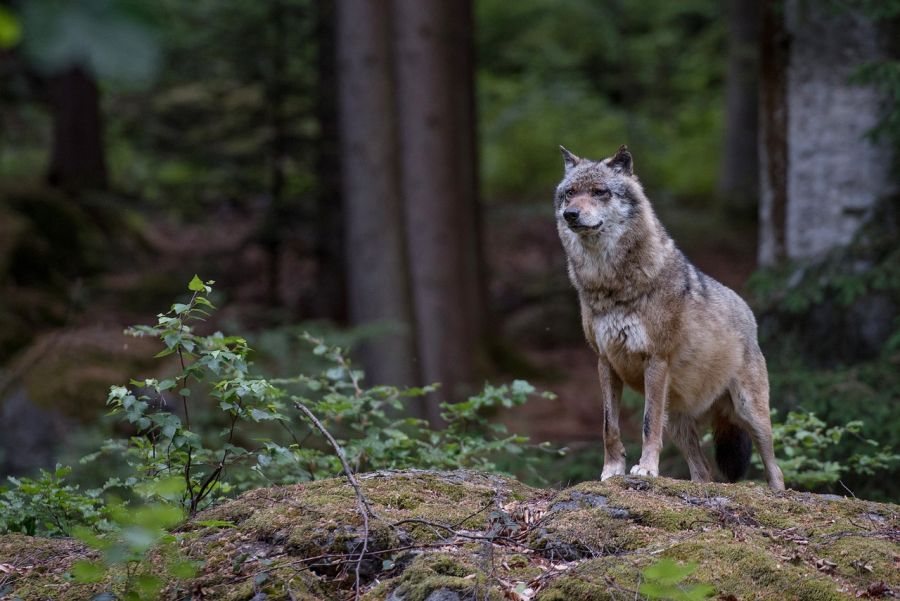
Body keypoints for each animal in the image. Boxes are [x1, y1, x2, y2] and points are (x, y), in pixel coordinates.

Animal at [552, 144, 784, 488]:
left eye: (599, 192)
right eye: (570, 193)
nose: (571, 214)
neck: (609, 285)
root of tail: (748, 312)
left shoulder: (655, 359)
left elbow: (647, 425)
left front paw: (646, 469)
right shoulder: (605, 362)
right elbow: (609, 426)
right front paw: (611, 471)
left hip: (750, 413)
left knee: (774, 468)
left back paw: (778, 492)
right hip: (677, 421)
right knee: (703, 472)